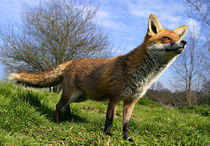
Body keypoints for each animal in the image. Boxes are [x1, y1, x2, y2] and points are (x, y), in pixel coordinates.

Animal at [9, 14, 188, 141]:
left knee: (65, 106)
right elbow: (110, 119)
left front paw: (127, 138)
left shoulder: (131, 101)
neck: (144, 76)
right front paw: (107, 134)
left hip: (79, 97)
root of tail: (72, 61)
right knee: (58, 105)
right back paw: (59, 122)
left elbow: (126, 123)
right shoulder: (115, 97)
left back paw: (69, 118)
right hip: (71, 94)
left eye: (178, 38)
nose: (184, 42)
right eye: (166, 38)